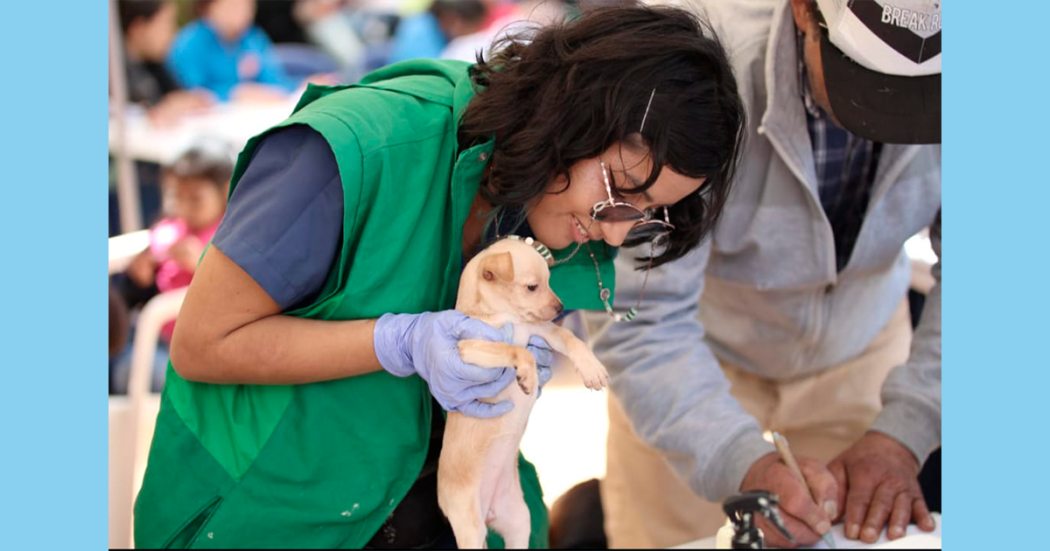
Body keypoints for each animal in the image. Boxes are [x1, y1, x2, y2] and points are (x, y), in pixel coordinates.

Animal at [434, 235, 613, 545]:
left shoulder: (543, 331)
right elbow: (516, 350)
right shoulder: (472, 349)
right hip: (470, 528)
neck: (508, 318)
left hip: (519, 520)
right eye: (532, 287)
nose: (560, 308)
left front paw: (592, 369)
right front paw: (527, 375)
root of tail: (489, 512)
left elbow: (570, 339)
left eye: (549, 281)